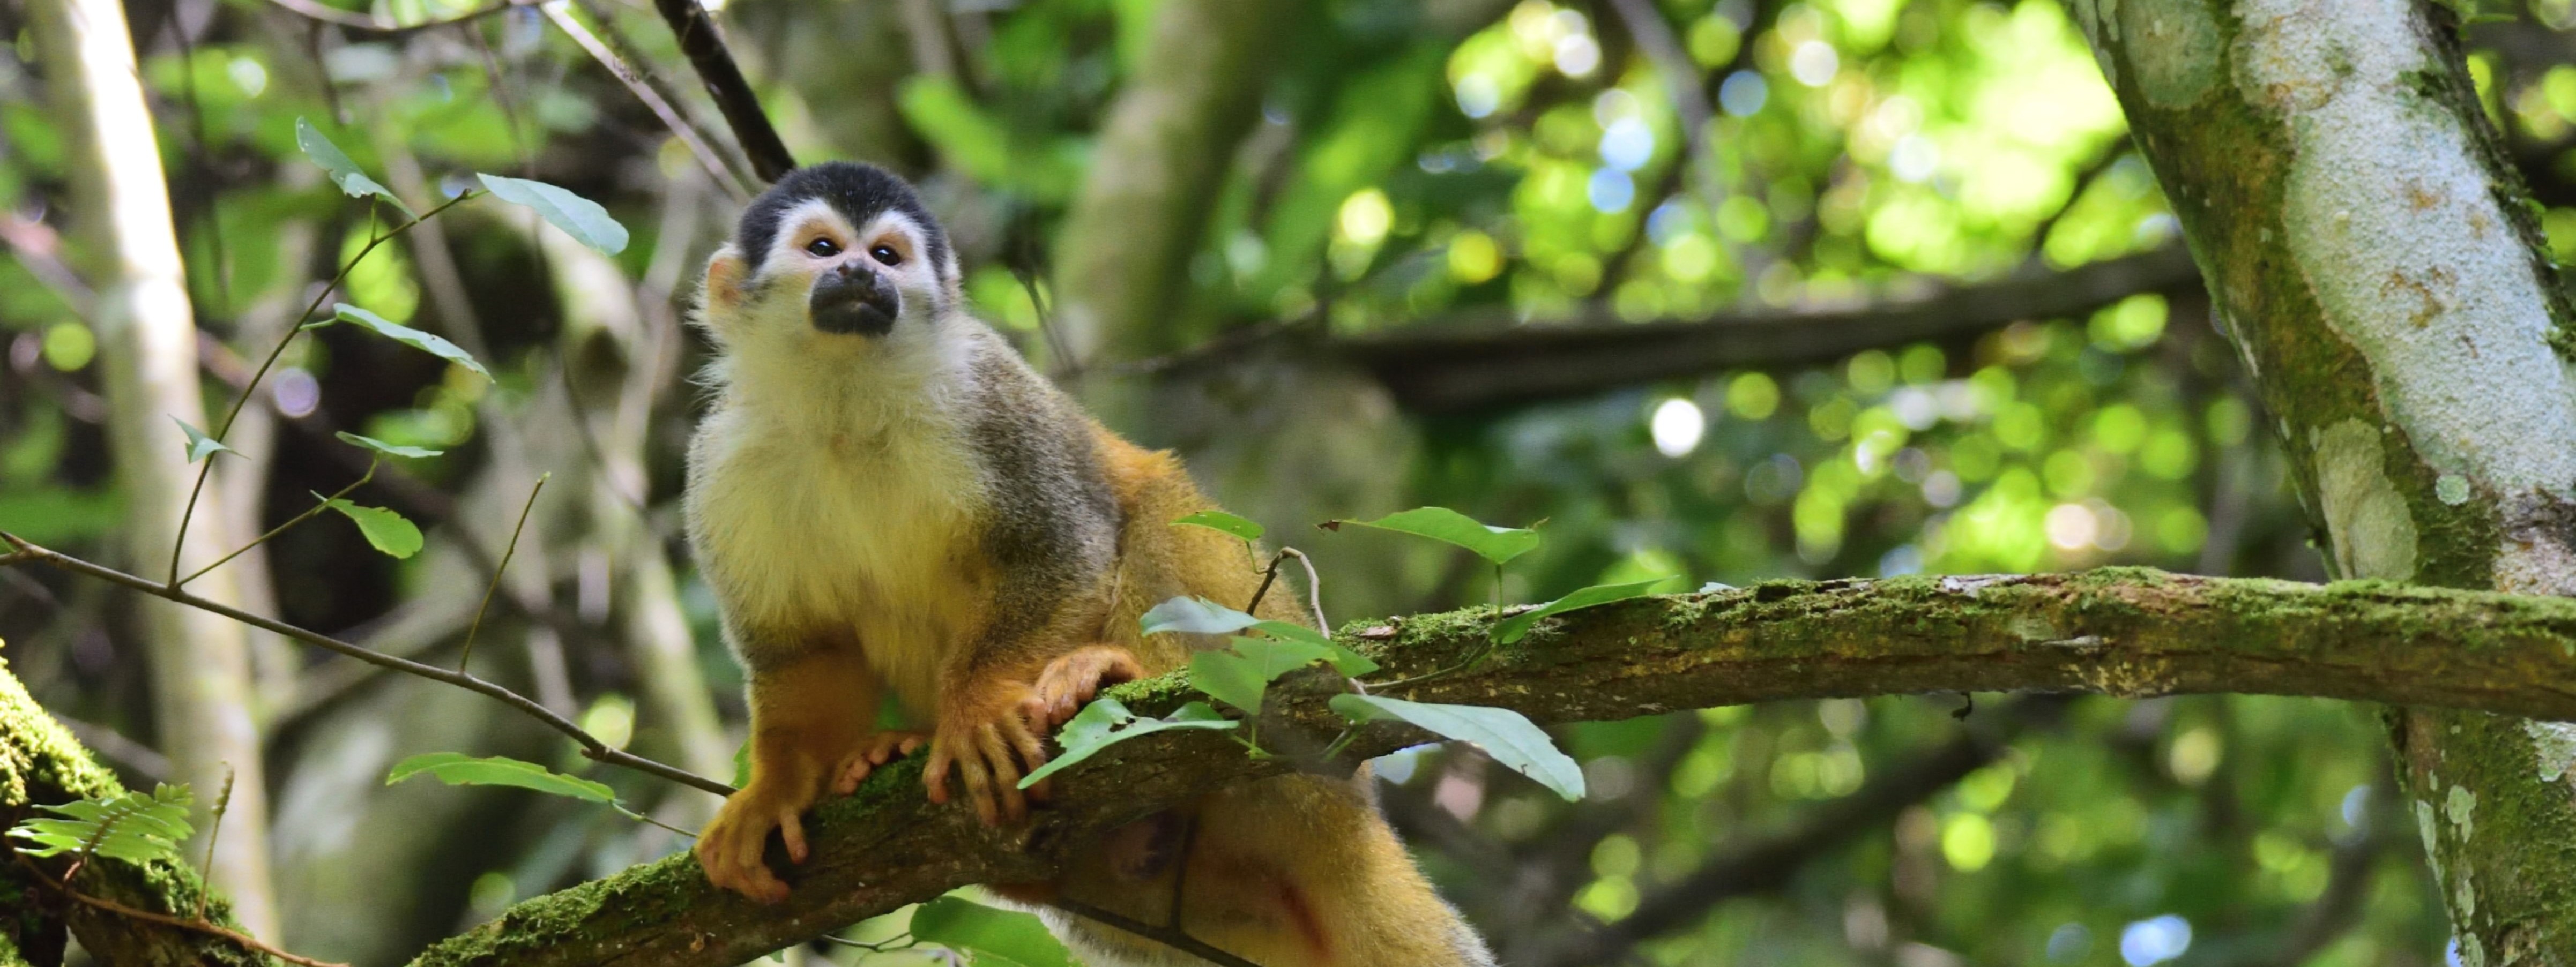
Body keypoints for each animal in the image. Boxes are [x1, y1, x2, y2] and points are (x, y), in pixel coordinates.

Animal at [684, 161, 1496, 966]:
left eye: (887, 255)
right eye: (823, 247)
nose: (859, 272)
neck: (843, 401)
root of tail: (1356, 809)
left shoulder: (988, 395)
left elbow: (1063, 542)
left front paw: (976, 708)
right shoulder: (721, 465)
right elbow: (802, 650)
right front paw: (776, 790)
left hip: (1292, 692)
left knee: (1160, 507)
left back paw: (1117, 675)